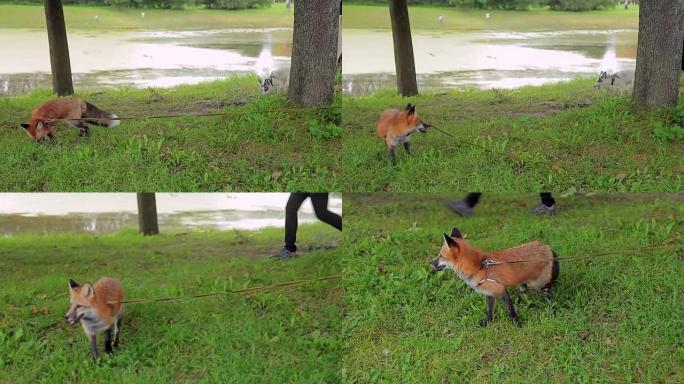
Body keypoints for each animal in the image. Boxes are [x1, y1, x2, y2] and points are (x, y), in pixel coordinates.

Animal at [430, 228, 560, 328]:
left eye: (440, 256)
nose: (430, 263)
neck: (479, 266)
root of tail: (546, 246)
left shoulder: (501, 290)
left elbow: (511, 311)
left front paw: (517, 324)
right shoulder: (490, 292)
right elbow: (489, 311)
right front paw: (486, 324)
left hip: (539, 284)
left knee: (548, 293)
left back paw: (551, 310)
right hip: (522, 281)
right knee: (523, 291)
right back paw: (520, 302)